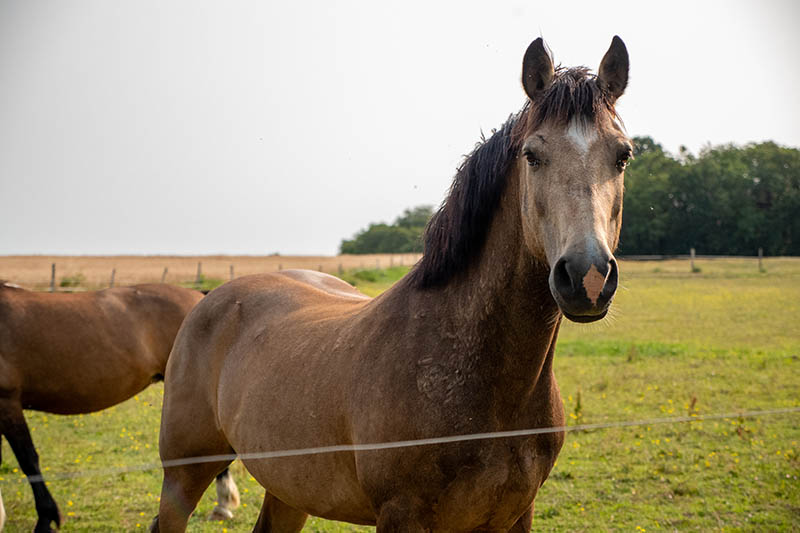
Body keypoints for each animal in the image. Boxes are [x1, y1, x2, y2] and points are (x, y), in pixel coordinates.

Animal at [153, 35, 636, 528]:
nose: (587, 275)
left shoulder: (516, 515)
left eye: (623, 155)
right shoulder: (402, 514)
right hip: (185, 473)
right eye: (532, 155)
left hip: (289, 489)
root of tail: (209, 300)